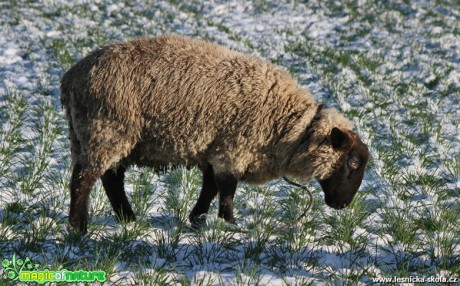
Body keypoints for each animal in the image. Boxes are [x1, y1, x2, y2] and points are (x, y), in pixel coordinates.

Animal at [61, 34, 370, 233]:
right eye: (353, 162)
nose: (342, 205)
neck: (292, 127)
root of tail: (71, 77)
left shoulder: (216, 147)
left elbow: (210, 187)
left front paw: (198, 219)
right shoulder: (233, 147)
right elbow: (227, 188)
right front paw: (230, 224)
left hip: (99, 136)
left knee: (111, 179)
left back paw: (127, 219)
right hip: (107, 129)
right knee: (84, 179)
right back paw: (79, 227)